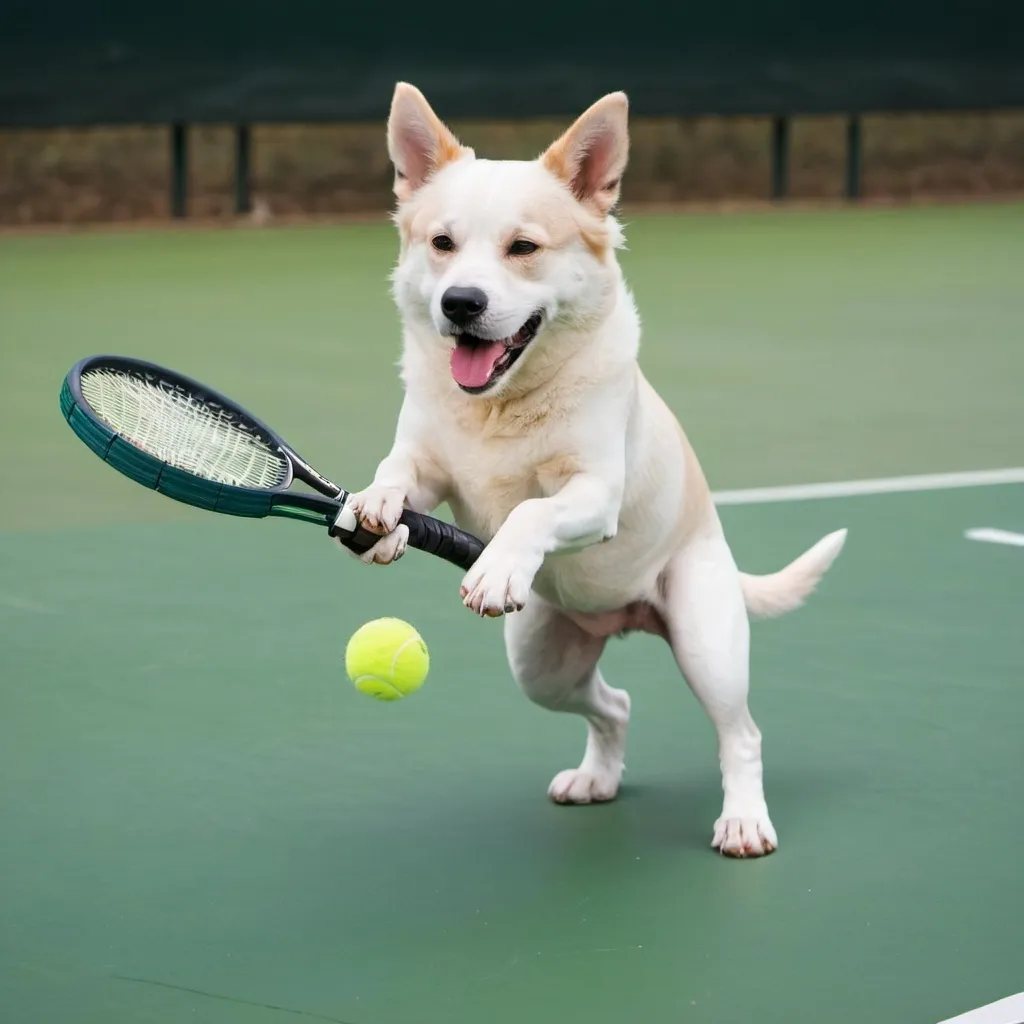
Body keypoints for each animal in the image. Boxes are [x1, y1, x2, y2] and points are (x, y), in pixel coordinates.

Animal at [335, 83, 847, 860]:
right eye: (442, 245)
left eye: (523, 248)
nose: (460, 304)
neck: (501, 405)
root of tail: (626, 616)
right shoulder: (425, 466)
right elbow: (395, 476)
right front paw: (377, 514)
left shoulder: (594, 494)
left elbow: (530, 511)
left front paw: (496, 566)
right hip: (543, 664)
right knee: (616, 706)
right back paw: (597, 778)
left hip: (707, 645)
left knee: (741, 735)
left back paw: (743, 821)